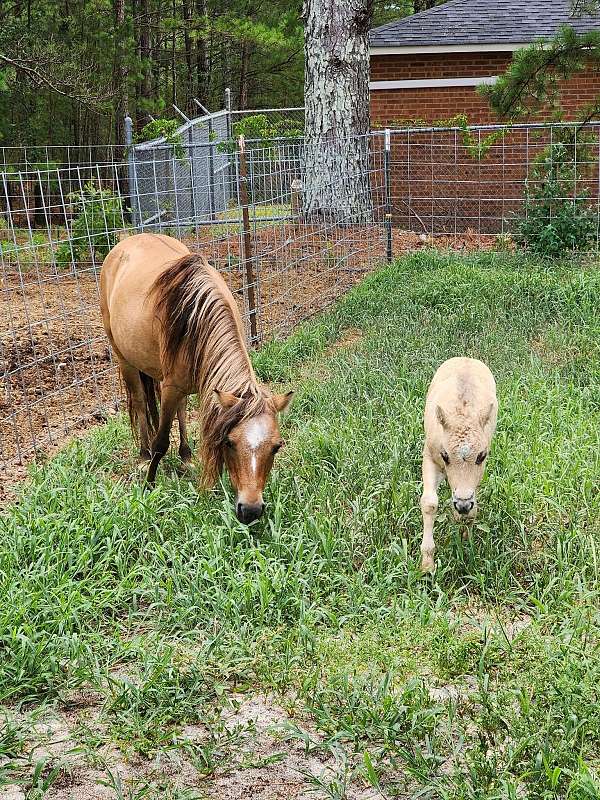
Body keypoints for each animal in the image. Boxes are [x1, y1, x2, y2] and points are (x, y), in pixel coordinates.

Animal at [100, 233, 293, 524]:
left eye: (277, 447)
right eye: (230, 443)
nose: (250, 510)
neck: (197, 316)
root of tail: (125, 242)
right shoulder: (171, 386)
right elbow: (161, 442)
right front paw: (149, 485)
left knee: (179, 409)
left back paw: (186, 457)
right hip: (126, 361)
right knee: (141, 404)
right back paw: (143, 456)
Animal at [420, 357, 498, 573]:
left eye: (481, 456)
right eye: (445, 456)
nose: (462, 504)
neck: (462, 413)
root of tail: (466, 357)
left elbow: (472, 511)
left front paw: (466, 542)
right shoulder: (430, 456)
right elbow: (429, 503)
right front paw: (427, 563)